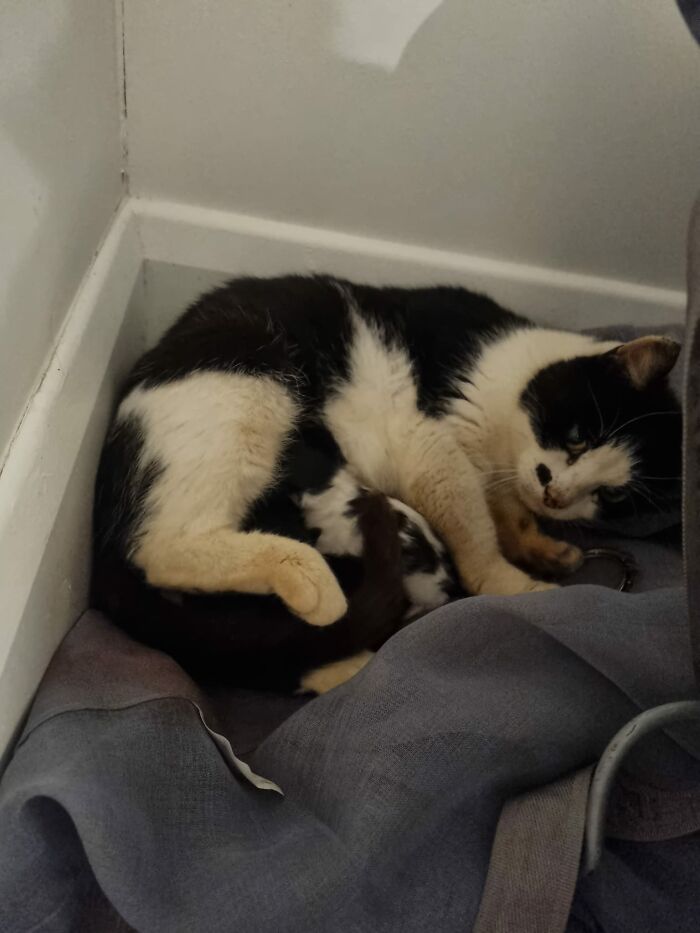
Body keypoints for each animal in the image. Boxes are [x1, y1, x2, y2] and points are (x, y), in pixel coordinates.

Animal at [91, 274, 680, 688]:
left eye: (611, 495)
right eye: (580, 436)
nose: (555, 493)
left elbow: (507, 516)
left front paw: (544, 548)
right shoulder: (433, 449)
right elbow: (475, 531)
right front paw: (517, 588)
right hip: (250, 388)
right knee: (164, 546)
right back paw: (317, 593)